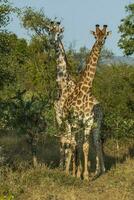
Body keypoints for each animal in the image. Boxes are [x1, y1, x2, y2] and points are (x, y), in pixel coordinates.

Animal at [62, 24, 110, 180]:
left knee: (90, 142)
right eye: (95, 35)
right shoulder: (77, 122)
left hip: (89, 125)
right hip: (69, 123)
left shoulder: (87, 122)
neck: (85, 91)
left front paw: (86, 175)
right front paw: (77, 174)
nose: (100, 42)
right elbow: (76, 145)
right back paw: (68, 171)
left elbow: (85, 146)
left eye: (105, 36)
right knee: (71, 142)